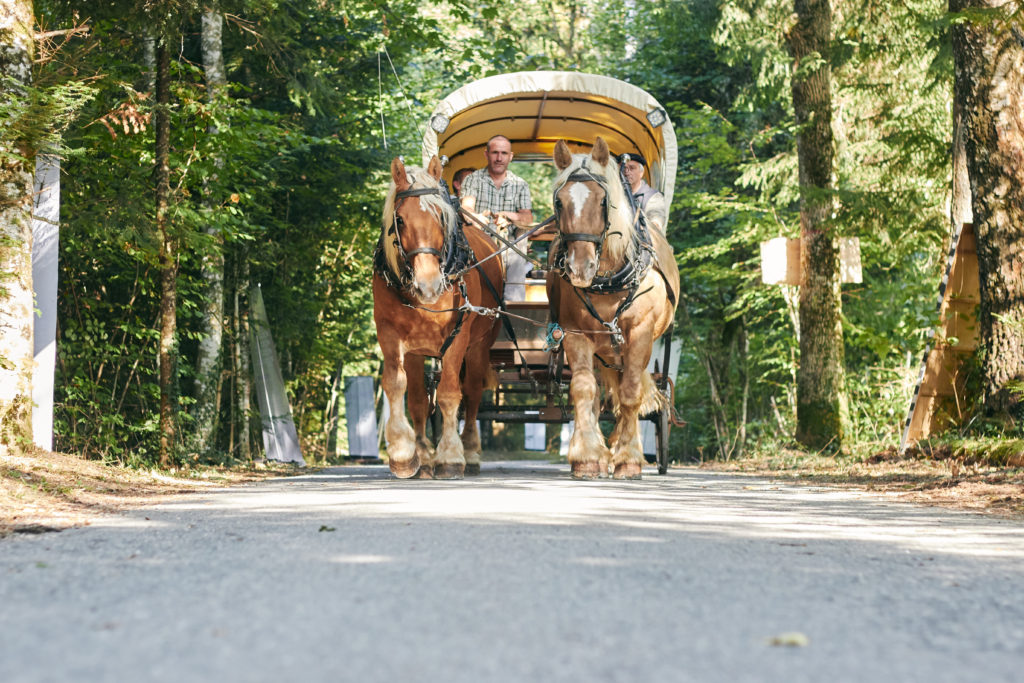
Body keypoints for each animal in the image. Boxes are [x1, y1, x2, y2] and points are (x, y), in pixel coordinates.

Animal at [376, 156, 503, 481]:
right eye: (400, 220)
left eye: (440, 217)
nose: (429, 285)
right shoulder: (394, 338)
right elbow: (404, 391)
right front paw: (409, 454)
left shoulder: (458, 337)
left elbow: (448, 394)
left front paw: (449, 457)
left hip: (479, 345)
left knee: (471, 393)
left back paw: (470, 451)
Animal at [548, 137, 684, 481]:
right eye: (559, 203)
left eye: (602, 201)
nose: (580, 268)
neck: (608, 279)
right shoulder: (575, 333)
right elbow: (584, 391)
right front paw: (586, 457)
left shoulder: (641, 335)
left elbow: (631, 393)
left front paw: (627, 459)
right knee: (598, 394)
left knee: (627, 390)